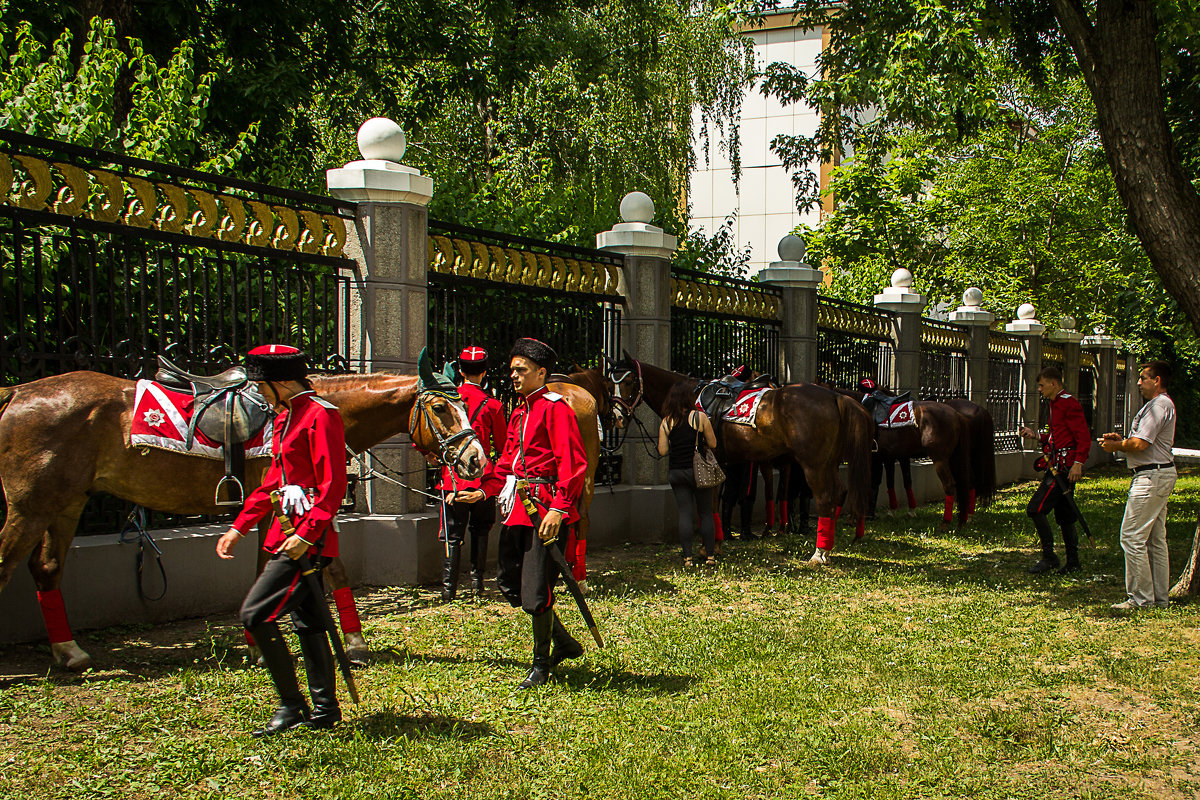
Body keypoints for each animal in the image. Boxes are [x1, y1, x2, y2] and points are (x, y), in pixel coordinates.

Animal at [1, 371, 487, 671]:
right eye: (441, 409)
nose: (476, 459)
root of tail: (18, 392)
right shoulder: (276, 504)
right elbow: (273, 566)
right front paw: (263, 643)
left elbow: (331, 567)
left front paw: (352, 642)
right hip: (29, 507)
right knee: (7, 566)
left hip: (66, 503)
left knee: (44, 569)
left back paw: (69, 651)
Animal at [609, 352, 873, 566]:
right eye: (609, 383)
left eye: (629, 381)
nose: (616, 417)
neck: (691, 399)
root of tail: (835, 397)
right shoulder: (718, 464)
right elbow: (714, 503)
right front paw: (714, 544)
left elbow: (709, 505)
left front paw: (709, 546)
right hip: (829, 463)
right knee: (839, 492)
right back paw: (828, 545)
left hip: (814, 465)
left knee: (826, 497)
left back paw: (819, 552)